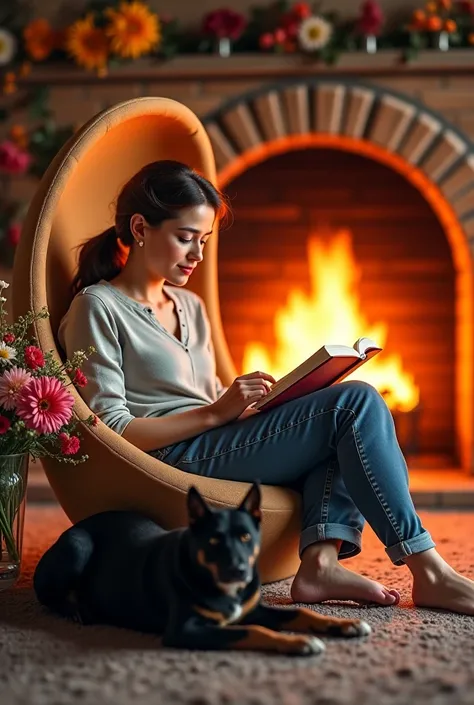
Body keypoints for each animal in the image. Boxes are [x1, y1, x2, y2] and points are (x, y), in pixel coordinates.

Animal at [35, 484, 372, 656]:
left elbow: (300, 613)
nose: (238, 571)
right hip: (77, 546)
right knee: (48, 596)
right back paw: (77, 609)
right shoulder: (185, 629)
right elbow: (252, 631)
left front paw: (345, 625)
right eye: (213, 540)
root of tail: (74, 528)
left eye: (246, 537)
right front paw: (299, 643)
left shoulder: (252, 608)